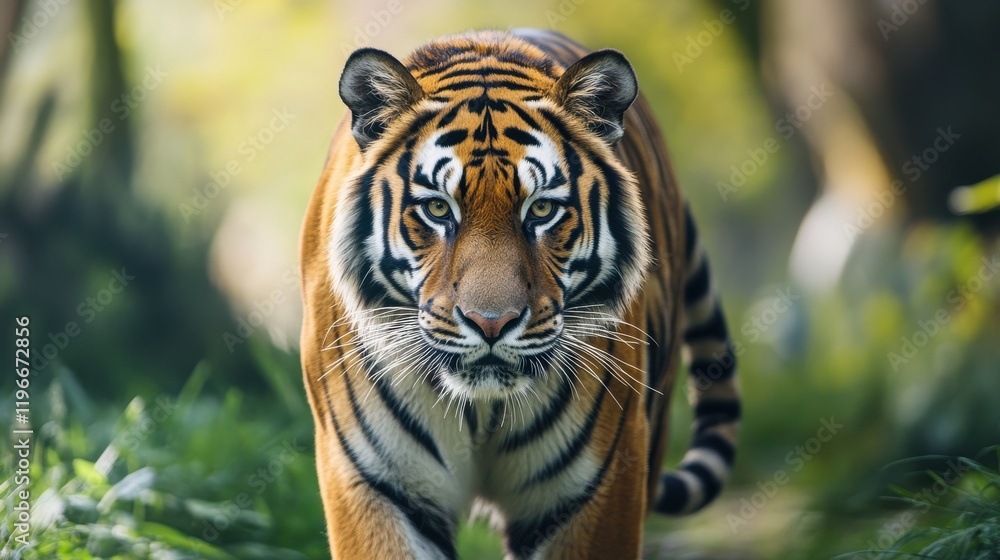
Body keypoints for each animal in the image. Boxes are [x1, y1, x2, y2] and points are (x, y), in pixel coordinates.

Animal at [299, 29, 742, 560]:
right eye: (437, 209)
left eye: (543, 210)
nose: (492, 323)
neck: (481, 408)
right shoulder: (377, 482)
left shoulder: (595, 485)